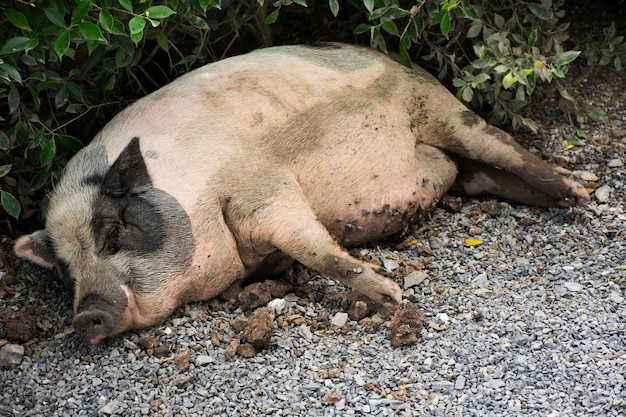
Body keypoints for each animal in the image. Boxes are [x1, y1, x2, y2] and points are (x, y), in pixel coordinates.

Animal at [12, 43, 588, 344]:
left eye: (114, 233)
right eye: (64, 272)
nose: (84, 314)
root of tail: (398, 59)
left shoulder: (262, 184)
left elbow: (315, 248)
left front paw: (394, 298)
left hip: (435, 106)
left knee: (501, 144)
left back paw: (579, 194)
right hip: (454, 162)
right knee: (473, 174)